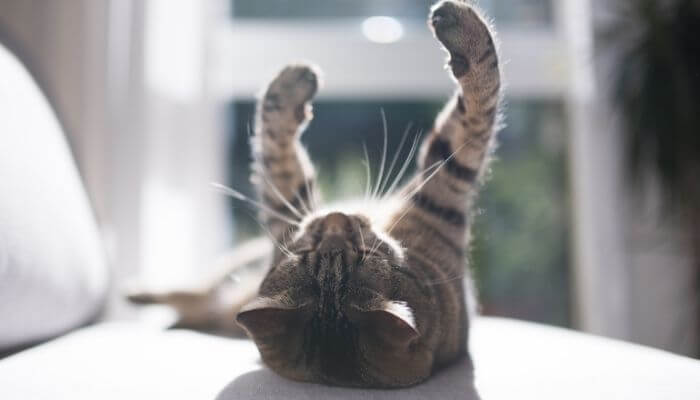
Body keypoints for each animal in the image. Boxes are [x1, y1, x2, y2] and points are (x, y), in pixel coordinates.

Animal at [129, 0, 500, 388]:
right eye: (306, 250)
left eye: (363, 250)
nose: (335, 216)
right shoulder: (445, 182)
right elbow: (480, 100)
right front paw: (294, 80)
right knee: (198, 290)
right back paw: (140, 292)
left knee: (198, 298)